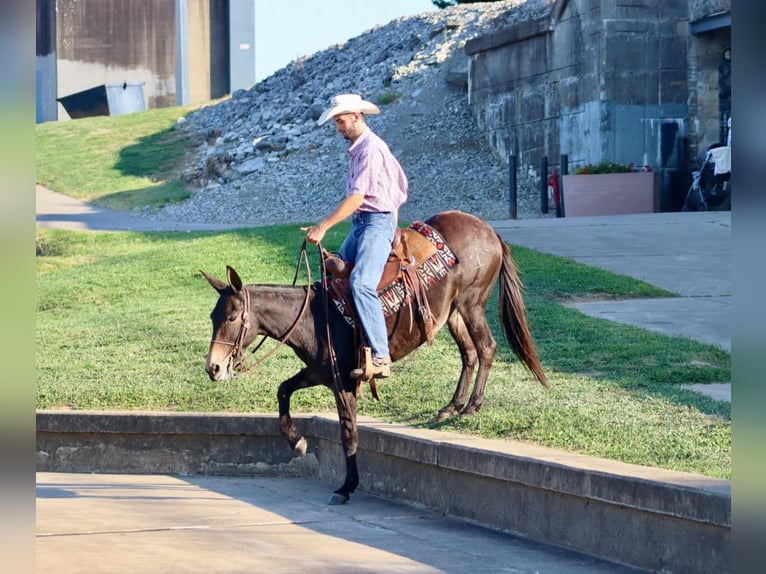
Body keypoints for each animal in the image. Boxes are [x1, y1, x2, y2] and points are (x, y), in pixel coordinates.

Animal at [202, 210, 547, 505]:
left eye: (231, 317)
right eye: (212, 315)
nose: (213, 367)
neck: (316, 317)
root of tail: (489, 231)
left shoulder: (343, 382)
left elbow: (349, 432)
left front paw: (346, 487)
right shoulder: (320, 373)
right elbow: (283, 391)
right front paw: (297, 442)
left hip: (471, 302)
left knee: (486, 347)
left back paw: (472, 406)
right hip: (451, 313)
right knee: (469, 353)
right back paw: (452, 406)